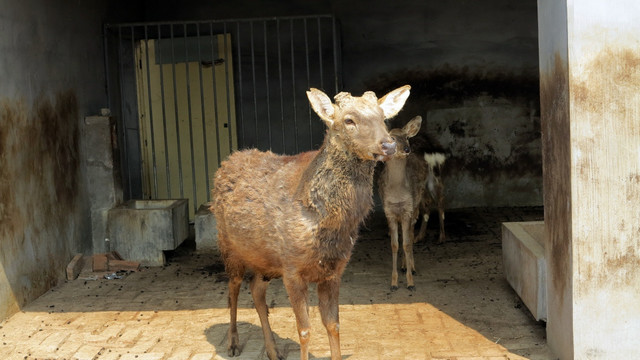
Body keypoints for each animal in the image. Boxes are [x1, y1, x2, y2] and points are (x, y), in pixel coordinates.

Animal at [210, 85, 410, 360]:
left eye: (383, 118)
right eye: (349, 120)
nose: (389, 144)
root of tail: (226, 161)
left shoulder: (333, 271)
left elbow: (333, 324)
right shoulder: (292, 269)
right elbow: (304, 330)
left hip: (265, 260)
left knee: (256, 290)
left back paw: (273, 350)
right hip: (229, 246)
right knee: (233, 289)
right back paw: (232, 343)